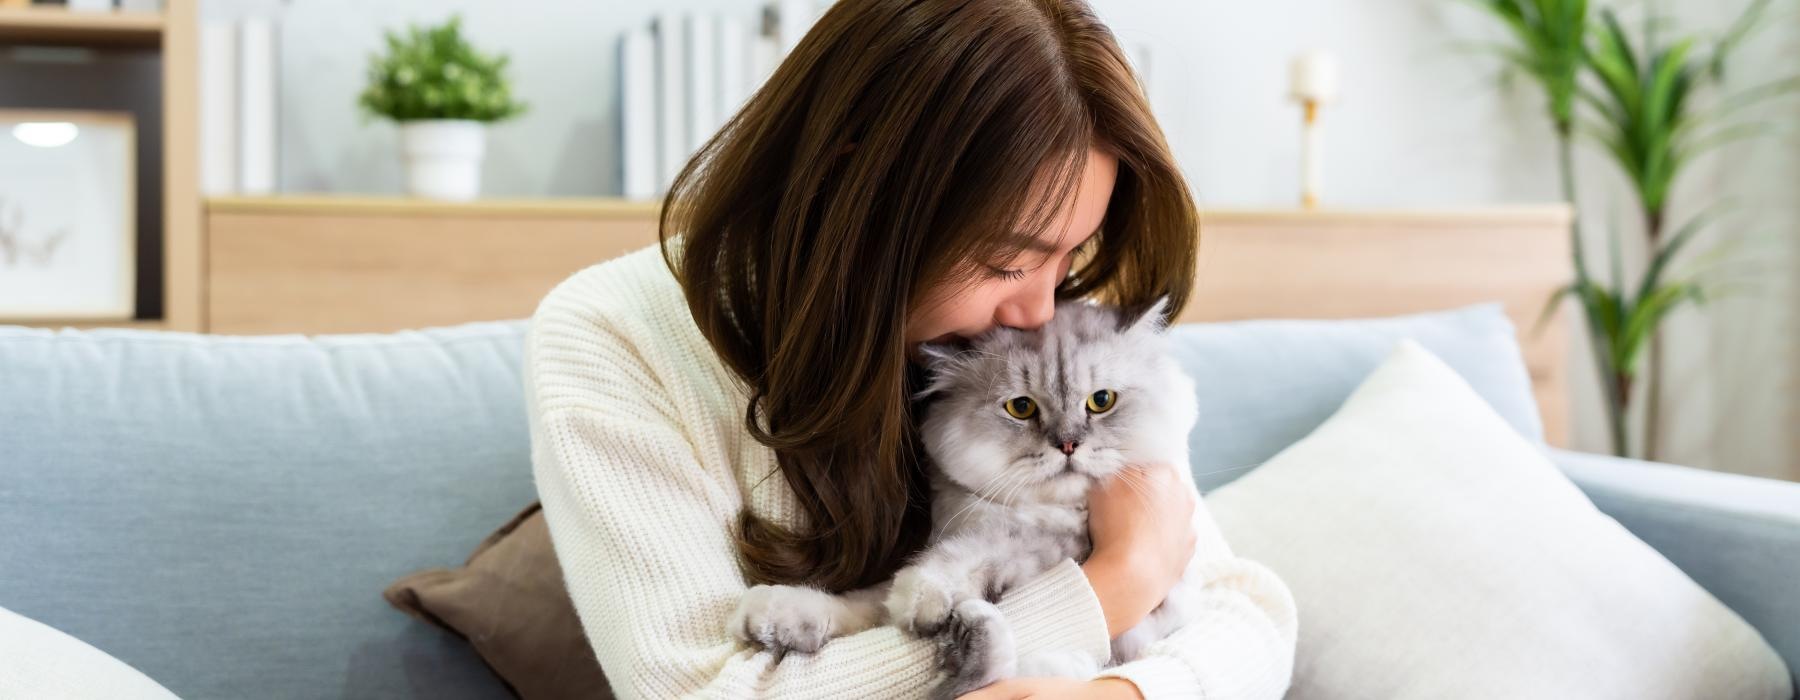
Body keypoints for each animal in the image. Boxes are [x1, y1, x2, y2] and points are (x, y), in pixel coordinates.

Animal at [723, 296, 1202, 694]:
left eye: (1101, 401)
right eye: (1021, 408)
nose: (1067, 445)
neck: (1041, 512)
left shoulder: (1059, 546)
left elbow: (968, 555)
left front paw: (922, 595)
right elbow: (862, 604)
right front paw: (772, 613)